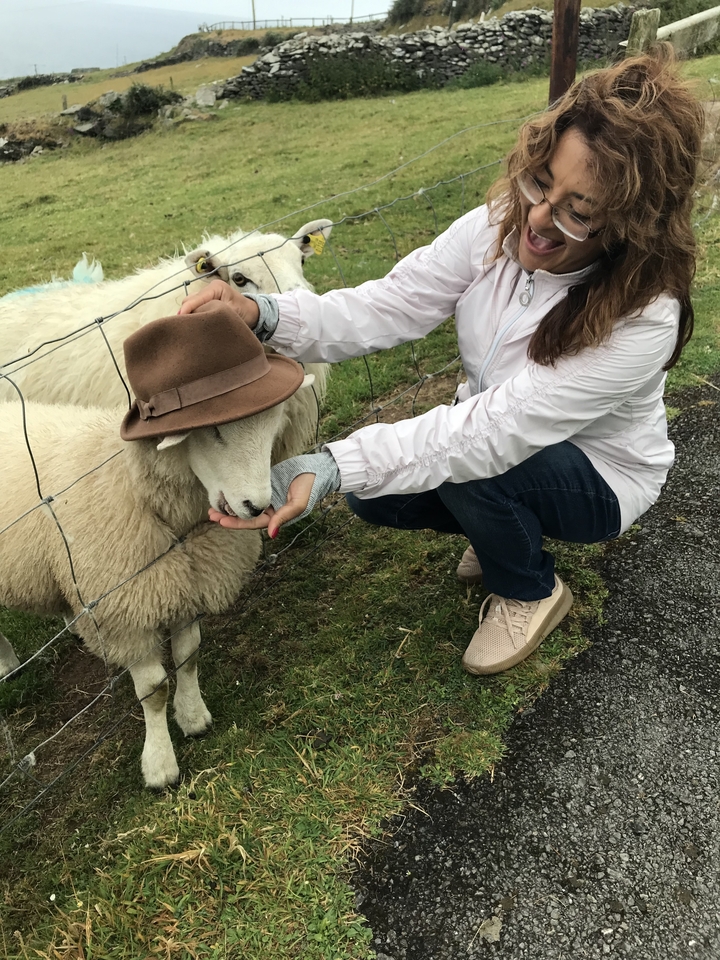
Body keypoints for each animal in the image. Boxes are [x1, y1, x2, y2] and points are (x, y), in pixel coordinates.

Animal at [0, 381, 315, 789]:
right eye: (214, 430)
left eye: (275, 423)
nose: (258, 507)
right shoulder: (126, 615)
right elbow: (154, 690)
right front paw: (160, 764)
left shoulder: (187, 583)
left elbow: (189, 656)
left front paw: (193, 717)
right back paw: (8, 663)